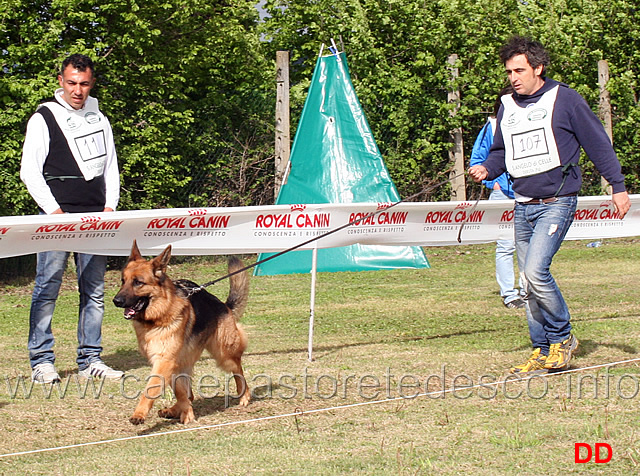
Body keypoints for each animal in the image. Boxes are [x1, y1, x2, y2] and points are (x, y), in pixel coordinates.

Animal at [111, 242, 249, 424]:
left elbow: (151, 388)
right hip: (185, 362)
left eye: (138, 282)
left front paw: (139, 414)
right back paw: (174, 410)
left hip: (224, 354)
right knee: (189, 393)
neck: (159, 316)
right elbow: (181, 392)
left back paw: (244, 396)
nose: (116, 301)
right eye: (123, 281)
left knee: (238, 369)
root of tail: (223, 305)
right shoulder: (168, 363)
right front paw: (186, 413)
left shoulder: (165, 361)